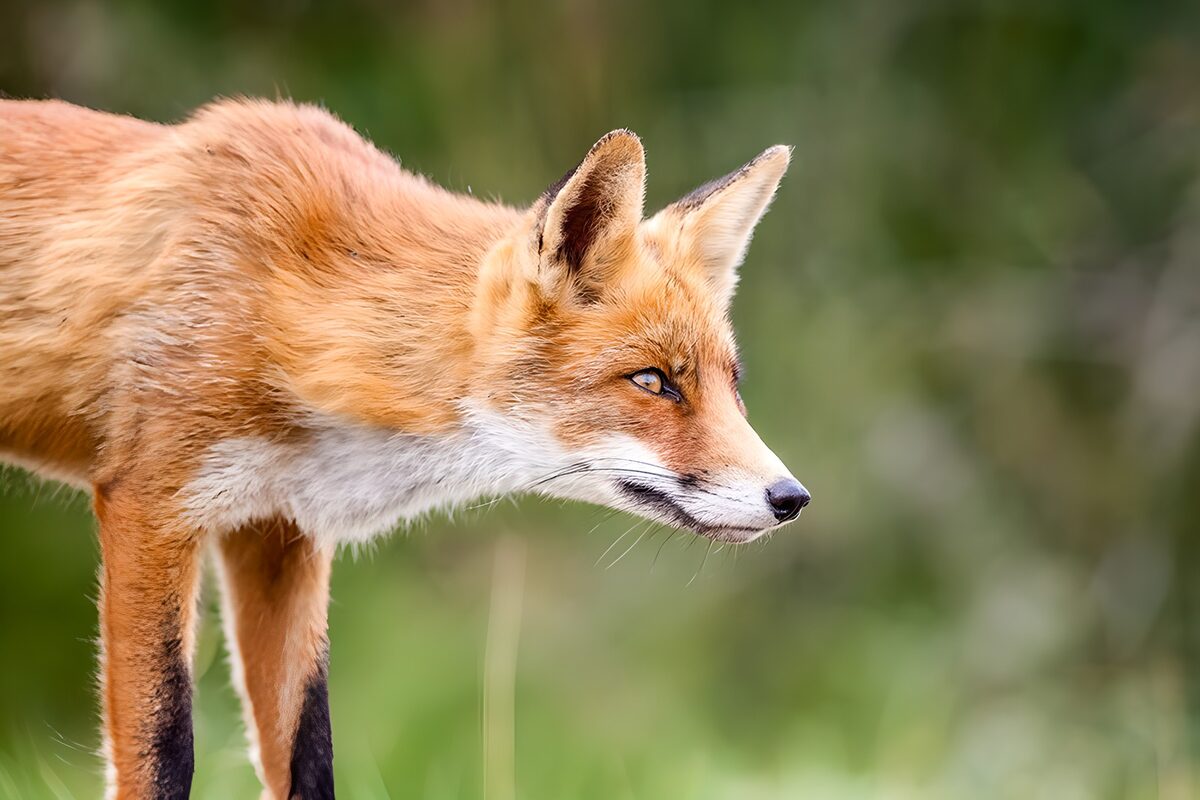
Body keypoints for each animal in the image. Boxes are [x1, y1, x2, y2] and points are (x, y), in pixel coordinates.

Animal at [0, 97, 809, 799]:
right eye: (652, 380)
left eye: (732, 384)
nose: (792, 498)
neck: (287, 300)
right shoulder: (152, 505)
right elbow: (163, 753)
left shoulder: (278, 533)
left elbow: (310, 756)